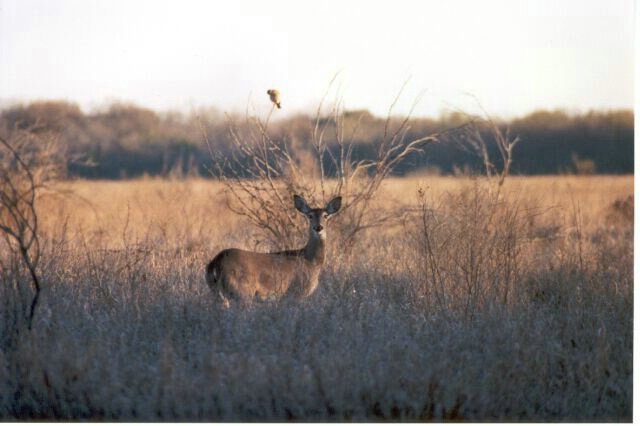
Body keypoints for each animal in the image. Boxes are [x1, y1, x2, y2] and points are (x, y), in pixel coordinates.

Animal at [208, 195, 342, 304]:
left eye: (325, 216)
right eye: (310, 216)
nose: (318, 227)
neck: (310, 261)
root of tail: (216, 263)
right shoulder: (298, 292)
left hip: (217, 294)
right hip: (243, 292)